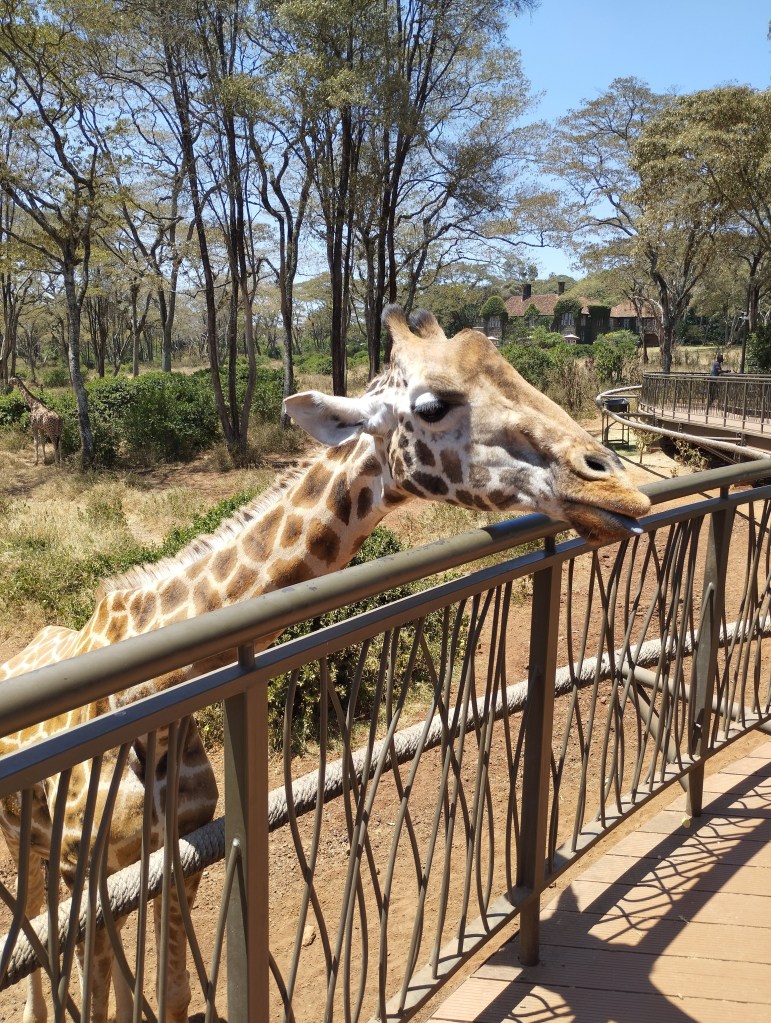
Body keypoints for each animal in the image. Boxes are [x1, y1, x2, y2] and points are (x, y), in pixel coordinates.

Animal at [0, 306, 651, 1023]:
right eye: (431, 405)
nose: (618, 485)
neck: (154, 694)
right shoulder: (85, 869)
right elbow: (91, 989)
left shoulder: (178, 861)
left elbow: (167, 995)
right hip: (33, 848)